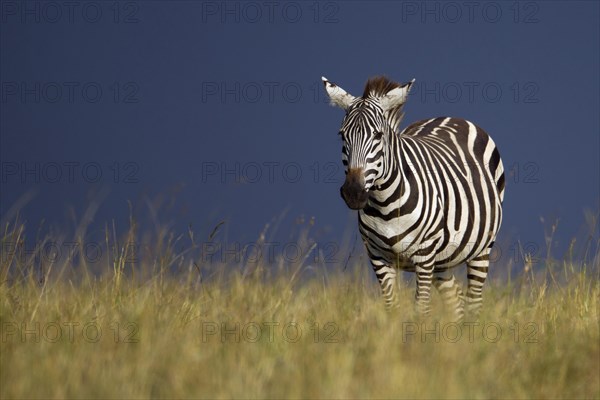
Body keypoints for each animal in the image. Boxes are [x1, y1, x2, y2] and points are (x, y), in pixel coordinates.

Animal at [322, 75, 504, 320]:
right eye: (342, 135)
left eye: (378, 135)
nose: (353, 193)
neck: (385, 204)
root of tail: (450, 116)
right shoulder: (377, 256)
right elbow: (392, 307)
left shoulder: (425, 256)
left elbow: (421, 308)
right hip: (442, 259)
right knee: (455, 301)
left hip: (481, 248)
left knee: (474, 301)